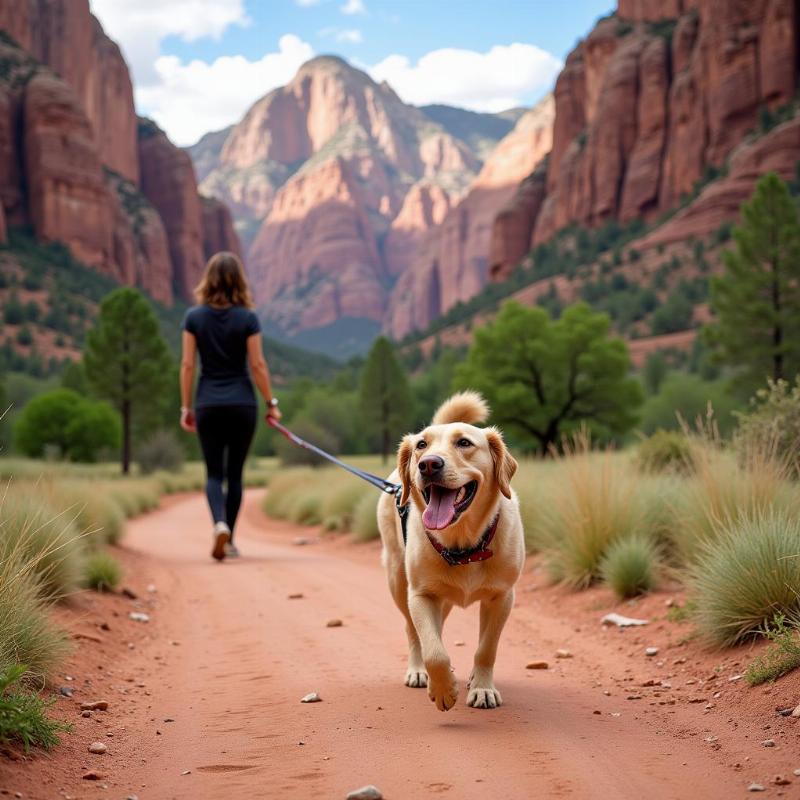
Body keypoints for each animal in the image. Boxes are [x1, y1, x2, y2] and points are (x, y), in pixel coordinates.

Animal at [380, 390, 524, 708]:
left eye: (464, 443)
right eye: (421, 445)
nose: (428, 464)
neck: (463, 546)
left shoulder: (502, 597)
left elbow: (486, 649)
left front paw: (482, 688)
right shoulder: (421, 595)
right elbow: (434, 650)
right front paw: (444, 688)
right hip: (397, 580)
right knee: (414, 632)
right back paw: (419, 671)